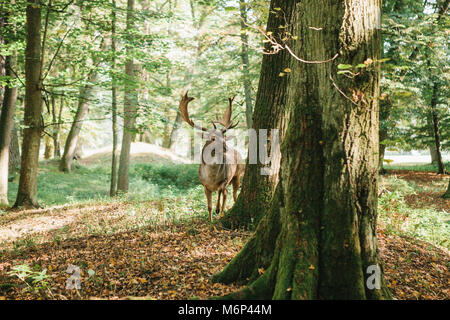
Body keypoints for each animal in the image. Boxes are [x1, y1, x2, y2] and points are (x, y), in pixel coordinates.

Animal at [178, 90, 244, 220]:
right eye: (213, 138)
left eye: (224, 137)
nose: (226, 148)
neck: (212, 176)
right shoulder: (204, 185)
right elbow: (209, 206)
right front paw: (210, 220)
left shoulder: (225, 180)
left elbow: (223, 194)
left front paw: (219, 211)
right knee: (224, 194)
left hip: (237, 175)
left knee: (232, 194)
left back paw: (224, 209)